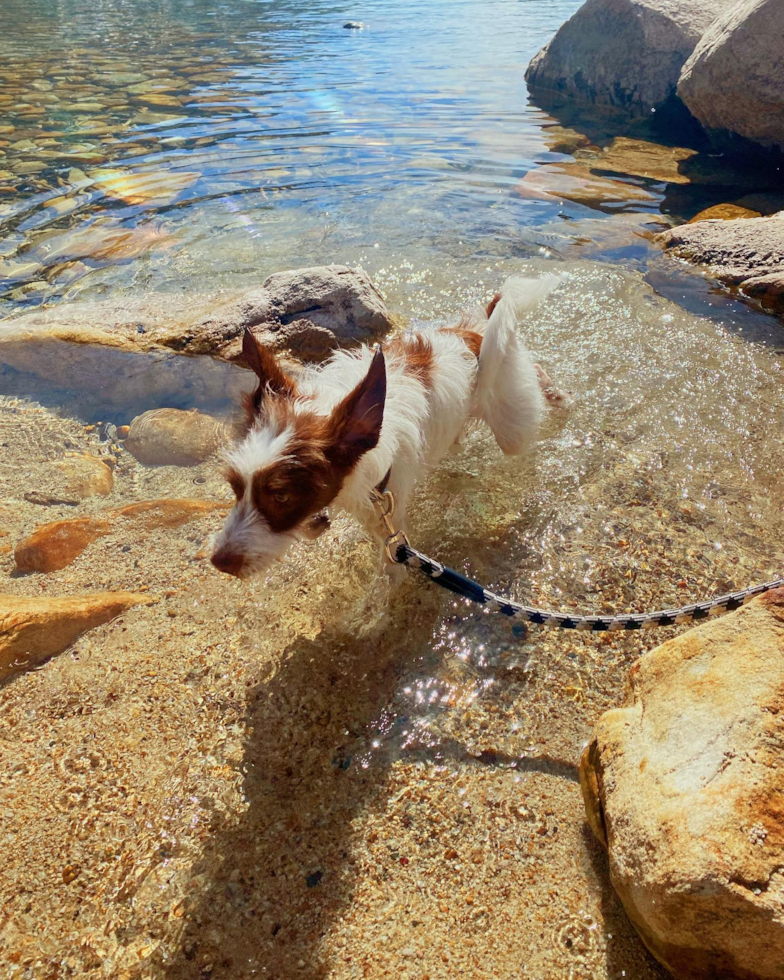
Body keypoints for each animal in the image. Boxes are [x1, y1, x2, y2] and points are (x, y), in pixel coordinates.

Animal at [211, 274, 568, 580]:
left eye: (281, 496)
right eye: (235, 487)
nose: (219, 562)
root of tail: (475, 333)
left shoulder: (389, 518)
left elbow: (391, 569)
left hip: (511, 422)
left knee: (532, 380)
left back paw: (557, 397)